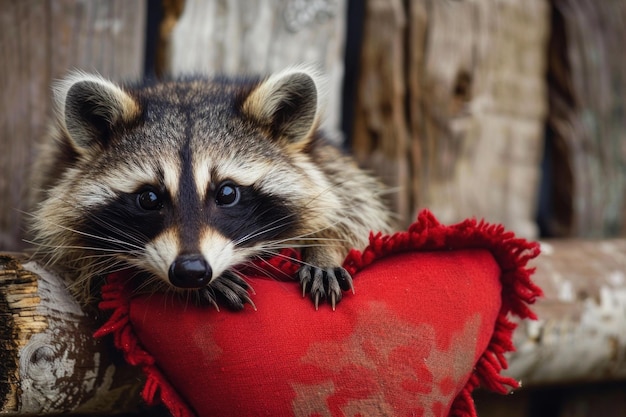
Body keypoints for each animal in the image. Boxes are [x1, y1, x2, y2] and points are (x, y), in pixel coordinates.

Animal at [30, 67, 390, 308]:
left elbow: (353, 215)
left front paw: (324, 248)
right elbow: (95, 275)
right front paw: (161, 283)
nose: (190, 271)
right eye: (149, 198)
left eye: (227, 193)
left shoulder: (335, 172)